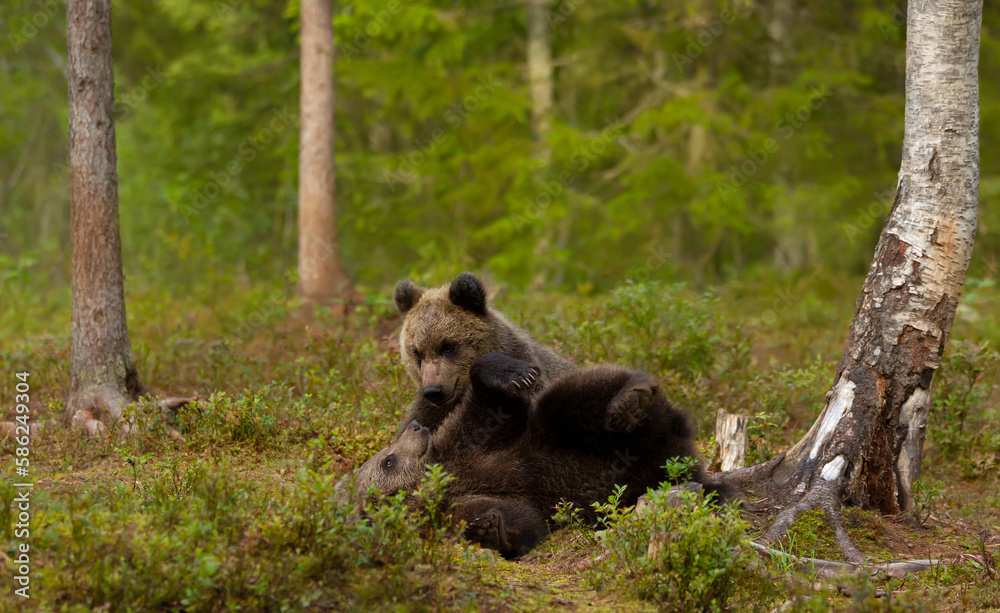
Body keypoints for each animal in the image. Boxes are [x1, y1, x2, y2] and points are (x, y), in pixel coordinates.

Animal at [350, 352, 732, 558]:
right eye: (387, 460)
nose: (415, 426)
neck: (437, 484)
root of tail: (674, 452)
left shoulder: (462, 445)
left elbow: (491, 409)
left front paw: (511, 373)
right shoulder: (456, 506)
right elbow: (520, 518)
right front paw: (489, 529)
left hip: (576, 430)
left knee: (569, 399)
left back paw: (631, 398)